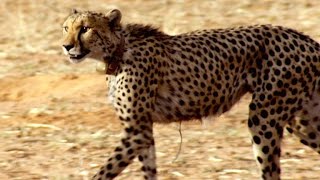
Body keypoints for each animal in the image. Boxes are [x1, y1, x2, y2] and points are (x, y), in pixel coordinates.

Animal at [62, 9, 320, 180]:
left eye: (85, 29)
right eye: (66, 27)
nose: (66, 46)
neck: (118, 50)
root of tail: (304, 38)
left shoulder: (136, 131)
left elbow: (105, 171)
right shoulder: (143, 130)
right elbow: (148, 168)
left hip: (265, 116)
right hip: (302, 119)